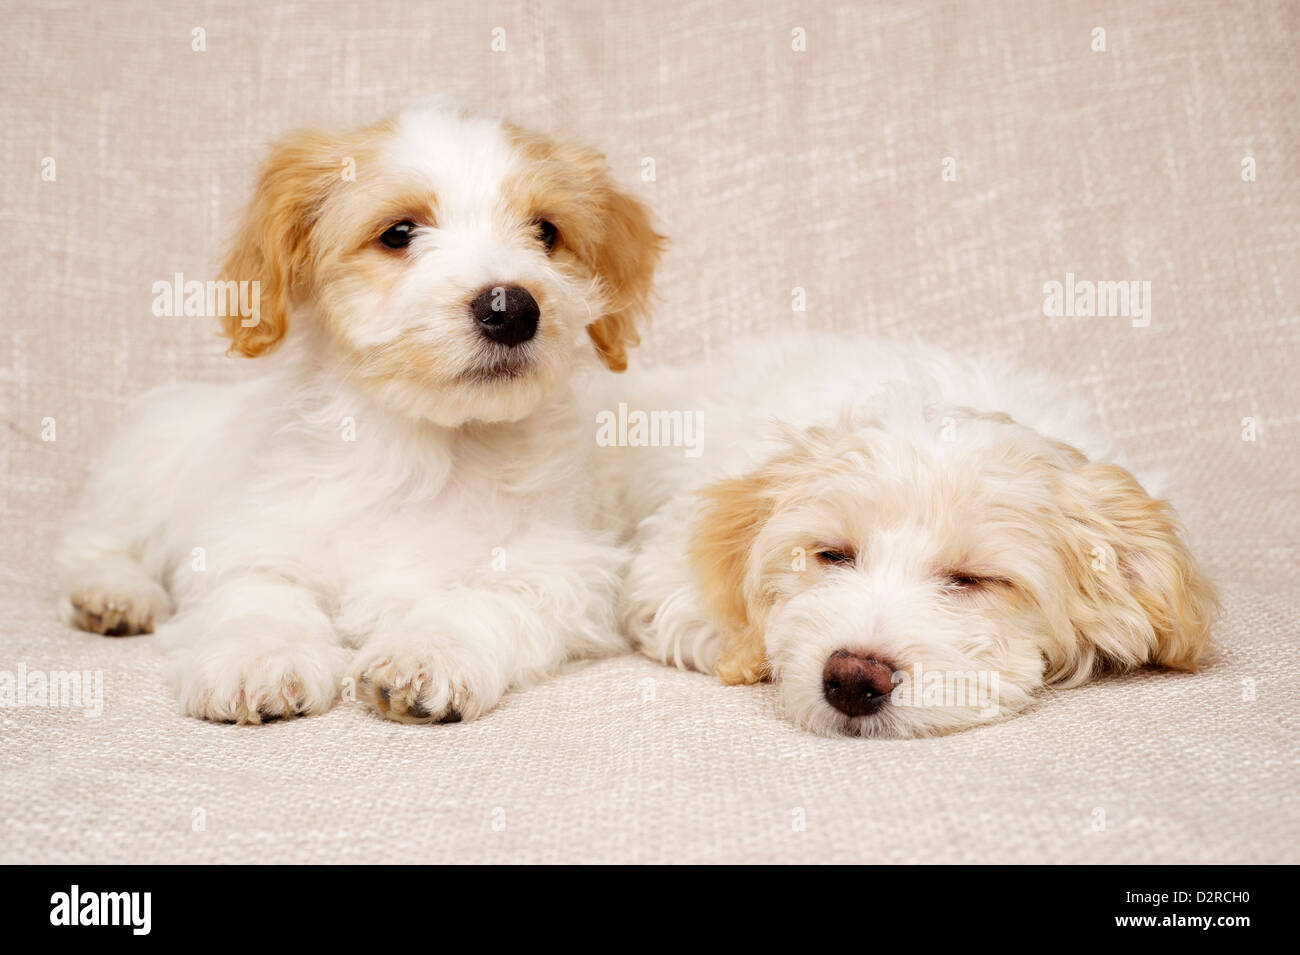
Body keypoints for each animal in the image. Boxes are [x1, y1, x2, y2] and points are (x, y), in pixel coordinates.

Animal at [57, 102, 665, 722]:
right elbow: (261, 593)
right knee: (91, 543)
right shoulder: (251, 541)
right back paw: (115, 596)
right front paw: (260, 656)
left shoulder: (562, 570)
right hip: (141, 468)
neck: (426, 455)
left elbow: (485, 599)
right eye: (398, 233)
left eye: (546, 232)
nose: (513, 309)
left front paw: (428, 652)